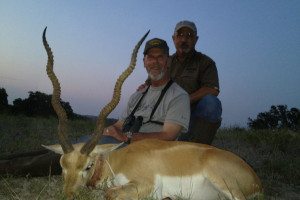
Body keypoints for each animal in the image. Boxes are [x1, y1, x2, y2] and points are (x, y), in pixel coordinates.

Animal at [42, 27, 262, 200]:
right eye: (62, 165)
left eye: (88, 166)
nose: (68, 195)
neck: (117, 160)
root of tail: (255, 178)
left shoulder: (145, 184)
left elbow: (110, 193)